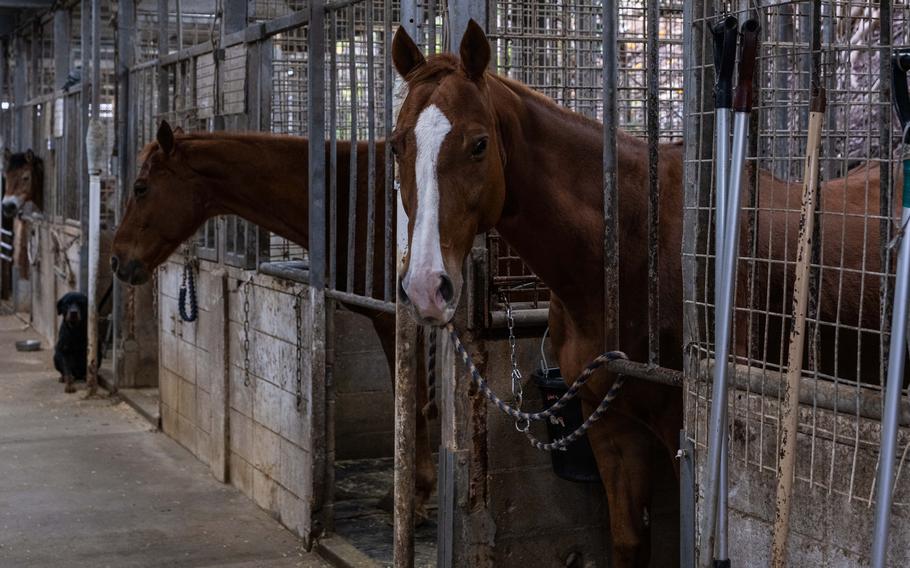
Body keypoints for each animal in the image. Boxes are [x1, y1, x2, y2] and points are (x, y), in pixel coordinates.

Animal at [109, 122, 438, 520]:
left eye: (141, 188)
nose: (117, 260)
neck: (348, 199)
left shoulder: (394, 319)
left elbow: (409, 400)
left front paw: (410, 497)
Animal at [391, 21, 901, 566]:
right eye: (396, 146)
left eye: (479, 144)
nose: (425, 287)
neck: (630, 249)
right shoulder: (610, 427)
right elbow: (629, 541)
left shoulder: (685, 432)